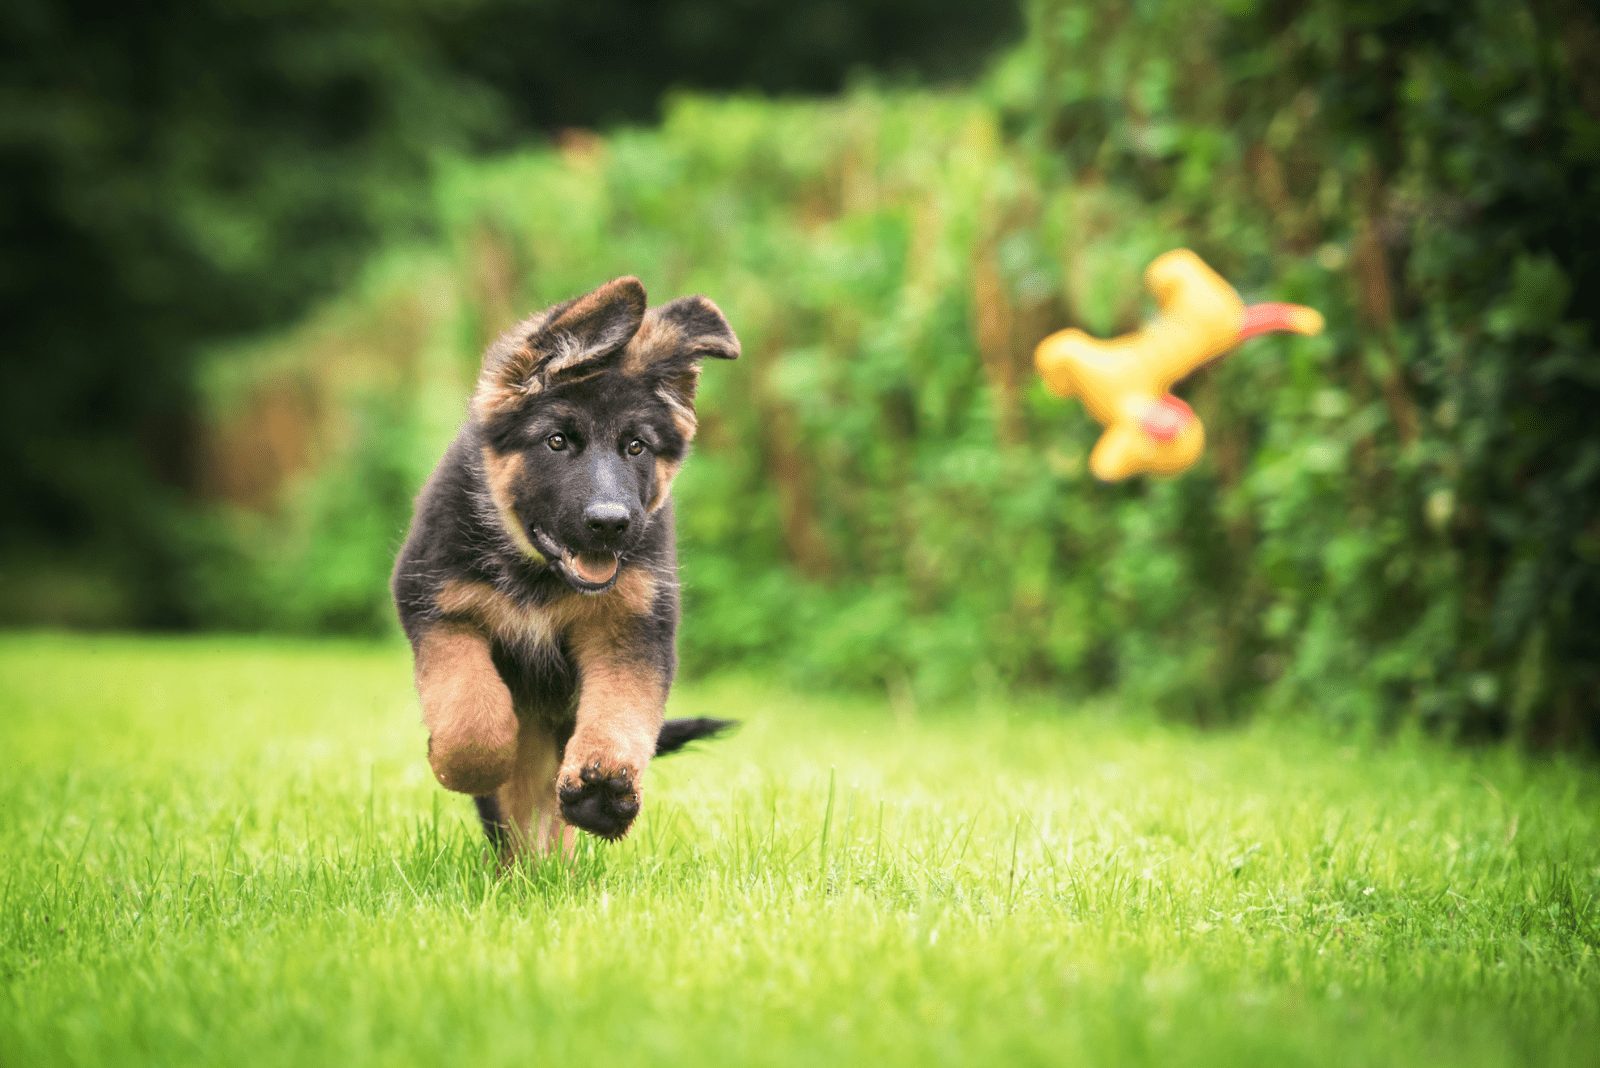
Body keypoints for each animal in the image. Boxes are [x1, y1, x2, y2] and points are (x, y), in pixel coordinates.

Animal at [390, 278, 739, 856]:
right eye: (557, 441)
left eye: (635, 446)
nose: (611, 523)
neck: (540, 576)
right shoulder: (438, 608)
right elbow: (470, 711)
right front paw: (467, 765)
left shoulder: (631, 628)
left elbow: (621, 709)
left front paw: (604, 788)